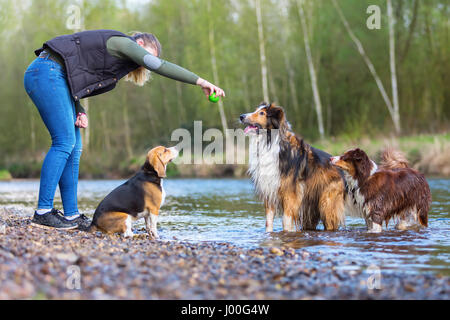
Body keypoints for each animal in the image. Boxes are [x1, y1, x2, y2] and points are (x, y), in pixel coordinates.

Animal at [241, 102, 346, 232]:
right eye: (256, 110)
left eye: (262, 113)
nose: (241, 116)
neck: (269, 143)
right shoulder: (270, 192)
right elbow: (268, 222)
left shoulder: (290, 194)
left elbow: (286, 221)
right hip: (309, 209)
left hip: (327, 204)